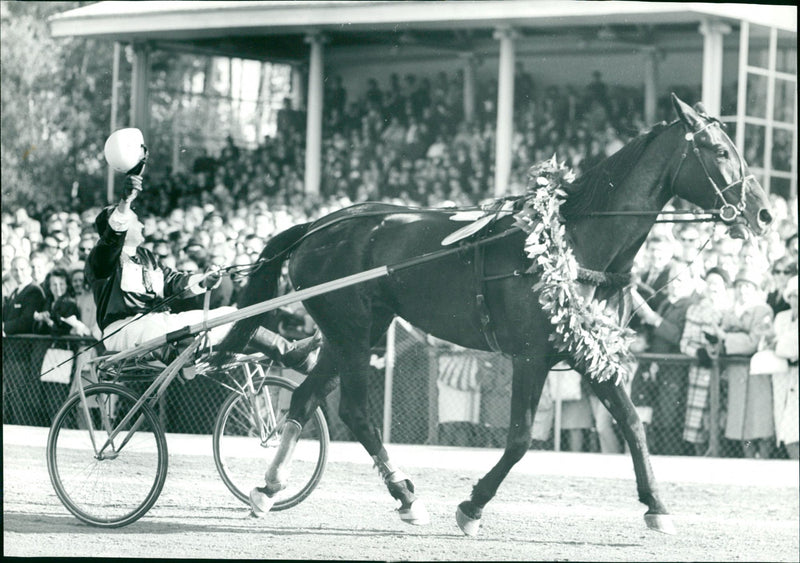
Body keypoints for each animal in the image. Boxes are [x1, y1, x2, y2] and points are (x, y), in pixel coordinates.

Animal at [216, 93, 772, 536]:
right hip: (352, 331)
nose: (763, 213)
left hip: (355, 329)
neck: (574, 241)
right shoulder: (531, 356)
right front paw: (472, 506)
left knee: (308, 396)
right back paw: (404, 494)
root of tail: (317, 227)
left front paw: (657, 506)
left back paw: (270, 488)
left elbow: (633, 423)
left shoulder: (588, 349)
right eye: (720, 150)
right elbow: (522, 439)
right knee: (353, 410)